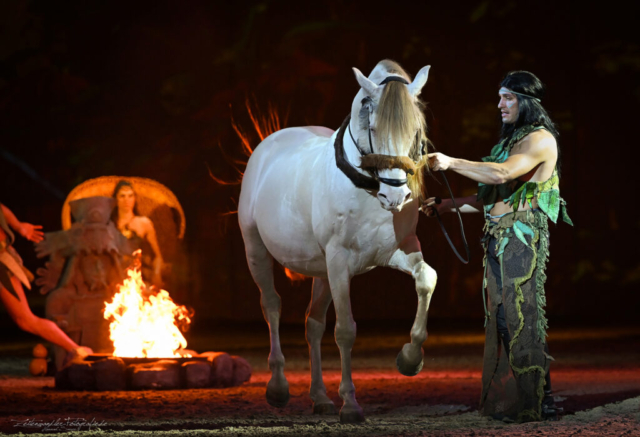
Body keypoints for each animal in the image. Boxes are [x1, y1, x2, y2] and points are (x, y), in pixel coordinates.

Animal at [238, 58, 438, 422]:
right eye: (372, 126)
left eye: (416, 130)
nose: (396, 195)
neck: (367, 189)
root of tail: (269, 144)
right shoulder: (339, 259)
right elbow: (345, 330)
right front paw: (351, 403)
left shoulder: (399, 248)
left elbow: (426, 279)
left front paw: (410, 358)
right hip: (256, 251)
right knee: (271, 305)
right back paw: (278, 386)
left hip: (321, 270)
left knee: (313, 324)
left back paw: (319, 396)